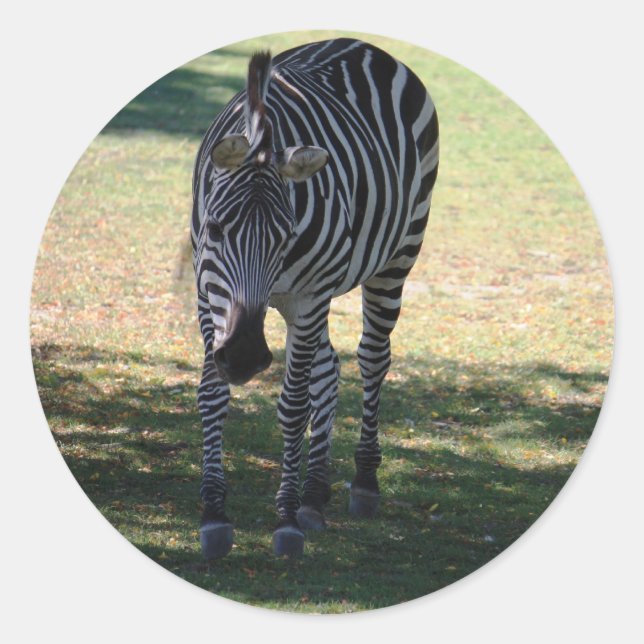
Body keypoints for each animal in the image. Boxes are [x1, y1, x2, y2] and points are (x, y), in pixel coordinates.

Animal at [192, 38, 439, 558]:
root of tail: (359, 44)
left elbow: (292, 406)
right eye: (217, 230)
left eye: (285, 238)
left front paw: (285, 520)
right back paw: (315, 494)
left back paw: (362, 481)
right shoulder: (207, 293)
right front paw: (214, 512)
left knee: (371, 358)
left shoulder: (307, 297)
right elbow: (212, 393)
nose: (244, 357)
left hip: (396, 255)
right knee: (330, 367)